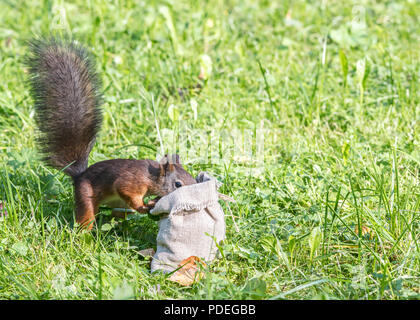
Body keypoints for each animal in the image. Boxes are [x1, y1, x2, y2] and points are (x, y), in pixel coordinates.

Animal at [26, 38, 197, 230]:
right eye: (178, 184)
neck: (151, 177)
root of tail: (79, 176)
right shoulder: (131, 182)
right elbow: (127, 191)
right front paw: (143, 207)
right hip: (86, 196)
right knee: (86, 217)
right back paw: (85, 233)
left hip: (119, 205)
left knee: (118, 216)